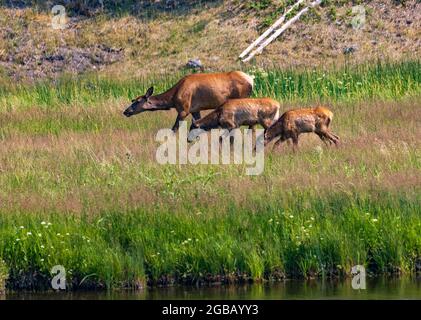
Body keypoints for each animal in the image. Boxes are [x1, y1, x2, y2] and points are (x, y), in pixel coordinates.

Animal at [121, 71, 253, 132]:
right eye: (133, 99)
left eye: (138, 101)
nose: (126, 111)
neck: (173, 98)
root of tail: (251, 79)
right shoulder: (195, 110)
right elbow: (197, 124)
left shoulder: (184, 110)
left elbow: (174, 129)